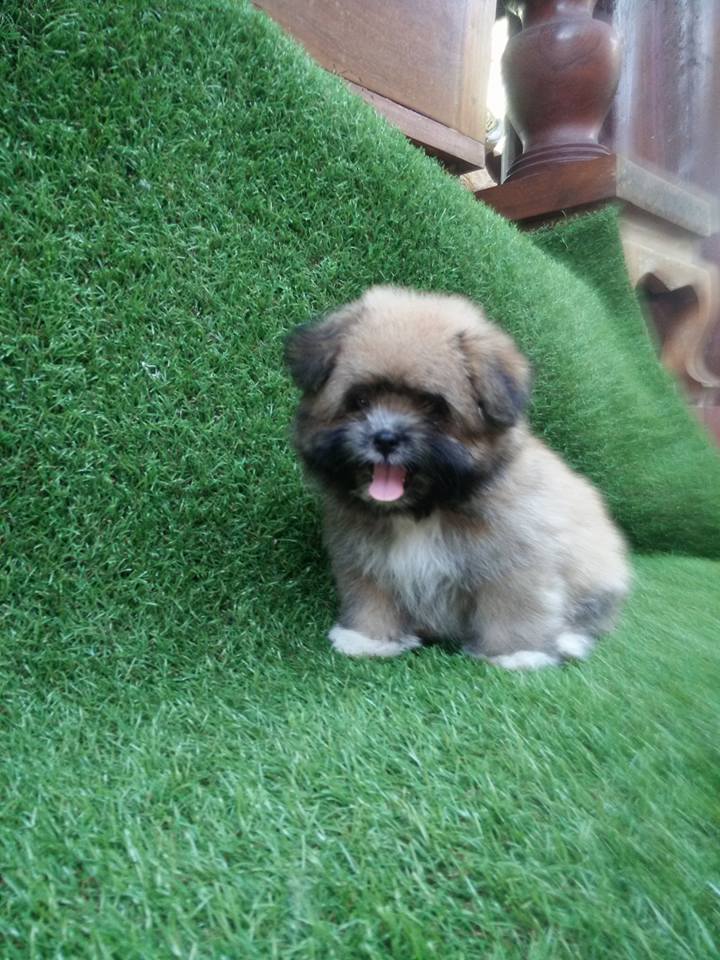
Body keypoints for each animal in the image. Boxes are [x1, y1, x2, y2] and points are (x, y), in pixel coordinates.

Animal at [285, 286, 630, 669]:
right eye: (359, 400)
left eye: (434, 407)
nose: (385, 438)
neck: (424, 510)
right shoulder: (367, 561)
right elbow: (374, 596)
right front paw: (369, 638)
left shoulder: (516, 563)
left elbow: (515, 606)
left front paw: (516, 654)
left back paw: (569, 641)